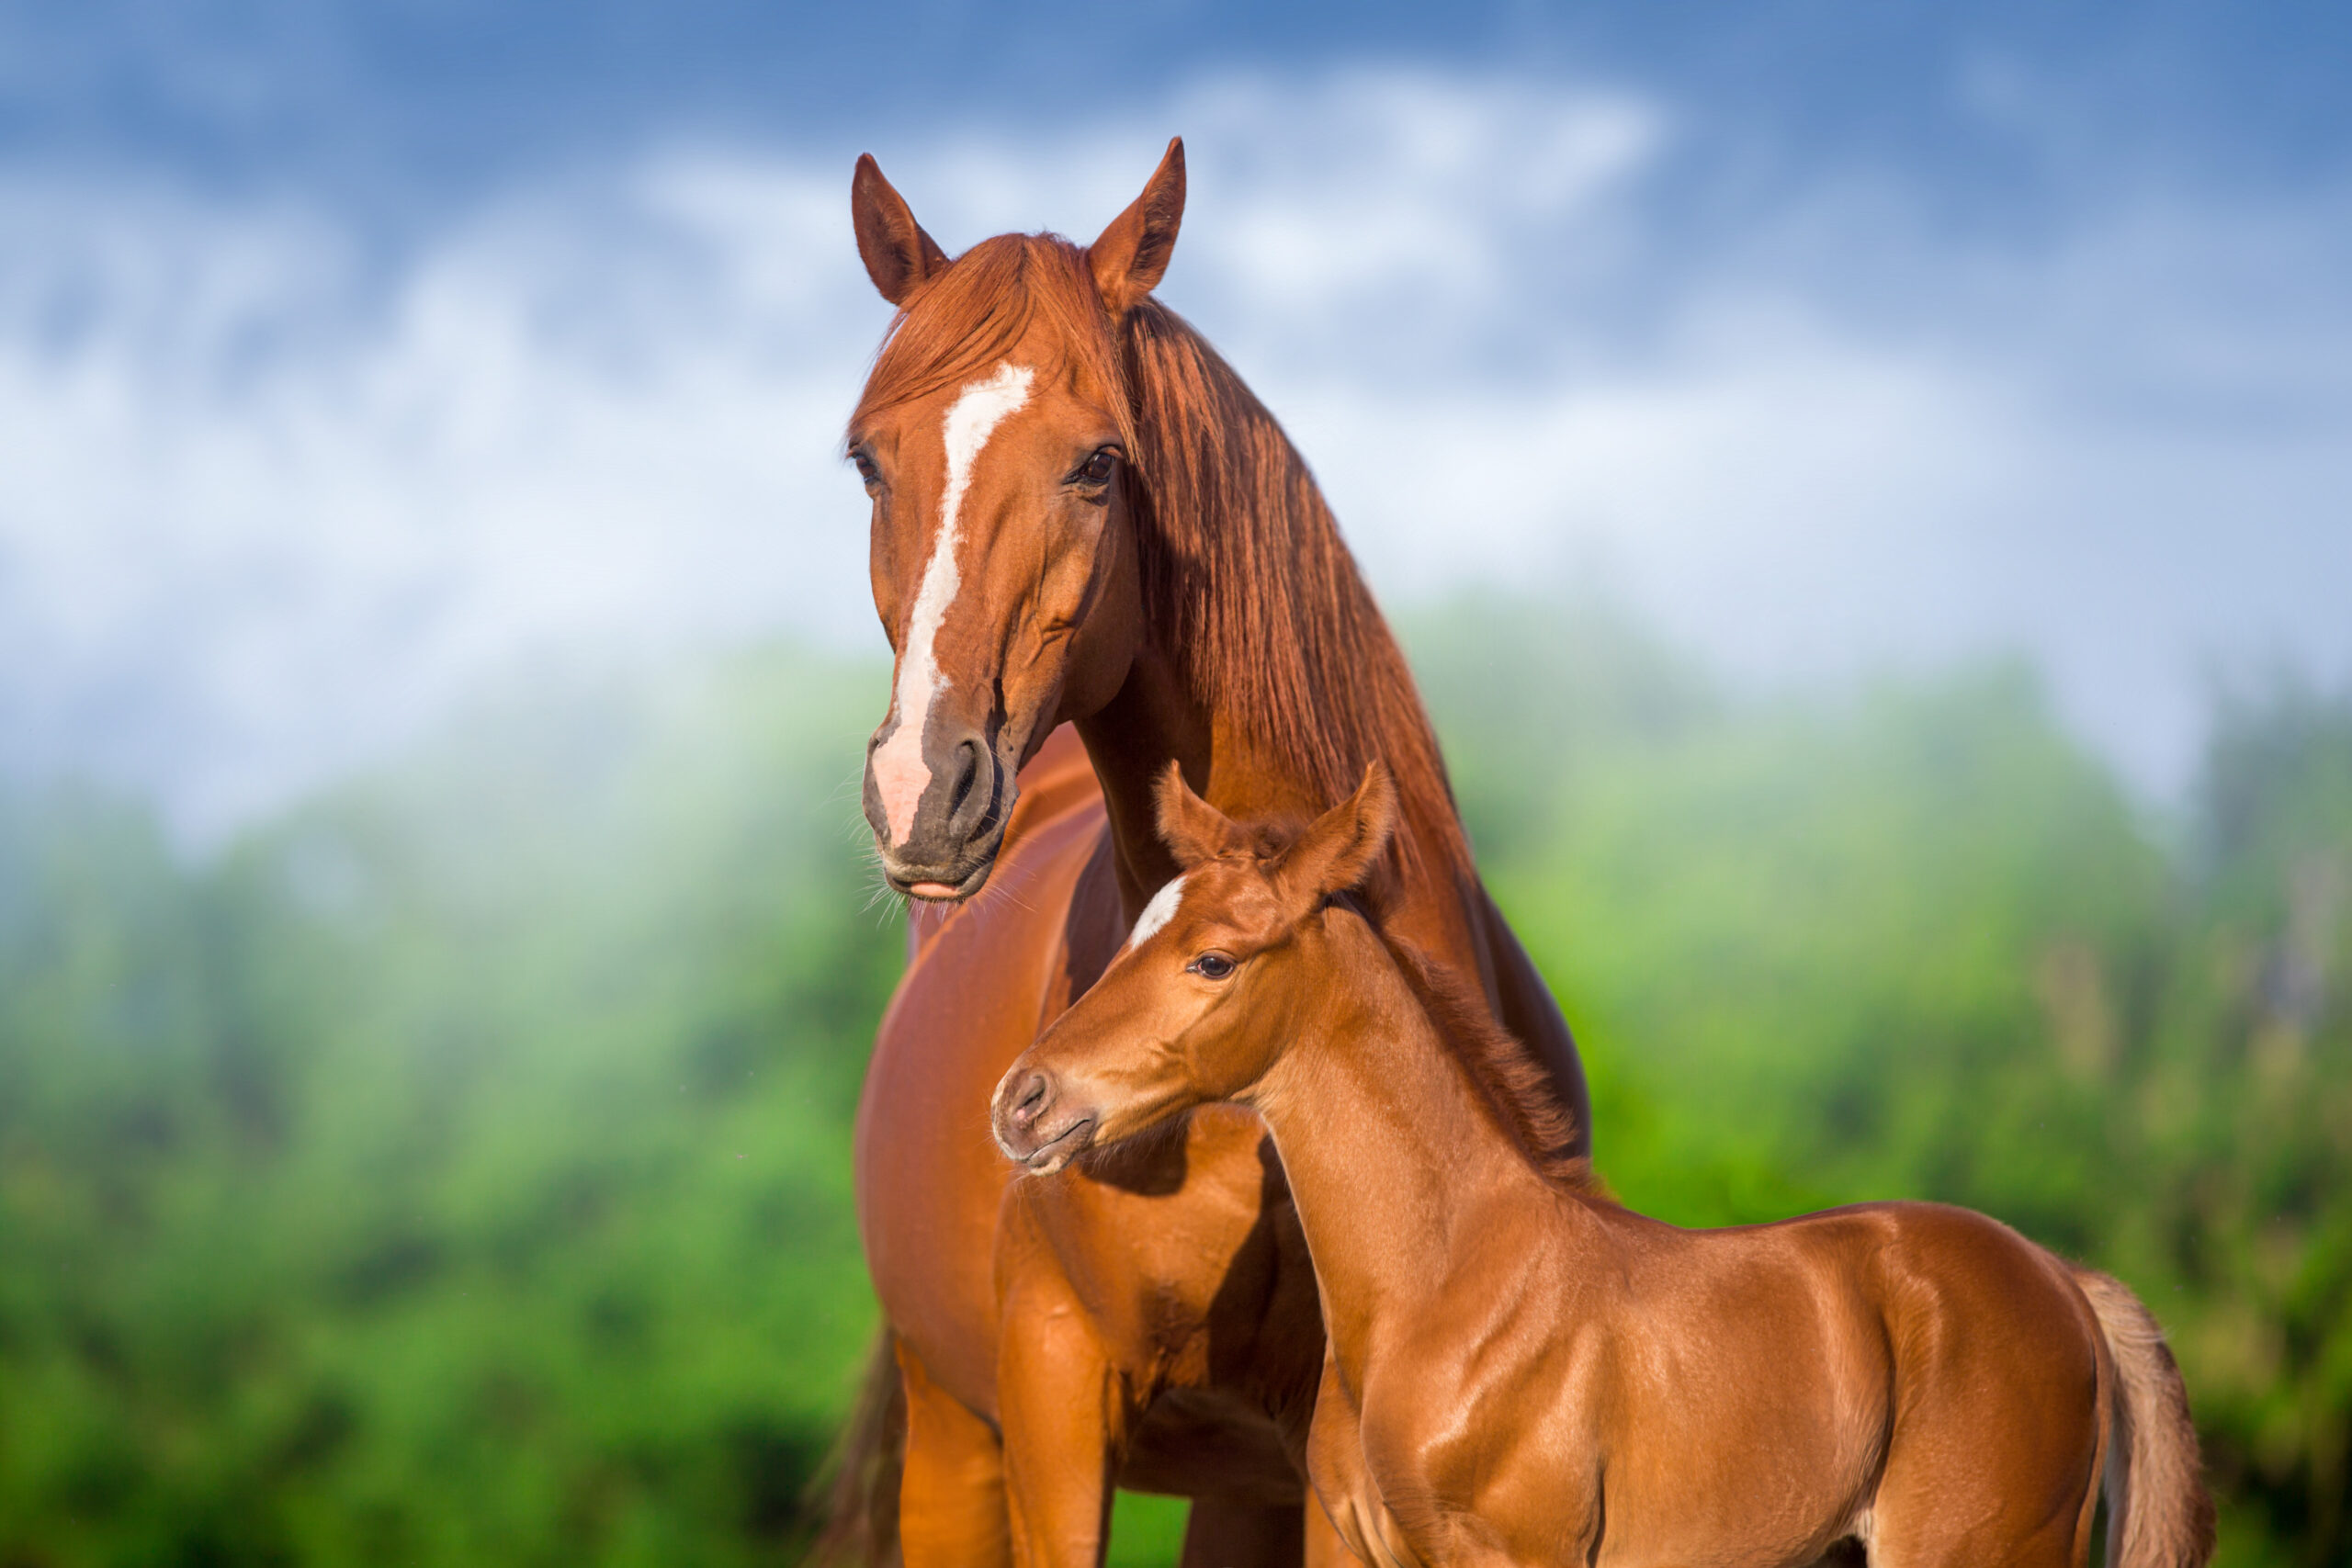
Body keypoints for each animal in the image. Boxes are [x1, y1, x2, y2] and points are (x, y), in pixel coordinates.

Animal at [821, 139, 1593, 1568]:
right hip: (955, 1437)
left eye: (1099, 464)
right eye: (867, 463)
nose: (924, 789)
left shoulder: (1324, 1459)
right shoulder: (1054, 1402)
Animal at [991, 762, 2217, 1568]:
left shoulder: (1520, 1558)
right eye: (1134, 931)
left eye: (1213, 959)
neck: (1449, 1293)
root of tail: (2062, 1281)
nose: (1022, 1101)